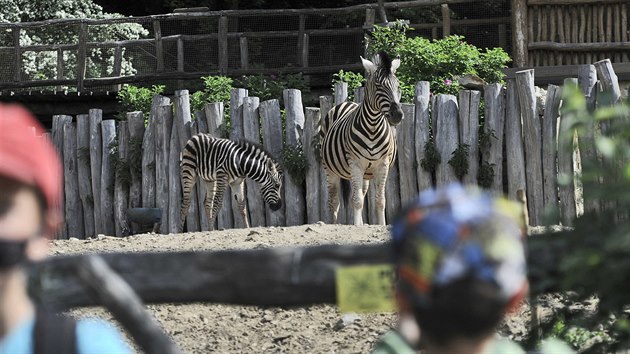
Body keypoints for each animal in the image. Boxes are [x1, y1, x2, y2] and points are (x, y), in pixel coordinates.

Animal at [320, 51, 404, 225]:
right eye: (378, 86)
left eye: (398, 85)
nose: (397, 115)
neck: (373, 127)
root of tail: (348, 103)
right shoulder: (355, 164)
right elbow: (356, 200)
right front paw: (356, 226)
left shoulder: (382, 165)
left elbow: (380, 200)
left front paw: (380, 225)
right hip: (330, 169)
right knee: (334, 200)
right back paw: (333, 224)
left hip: (366, 173)